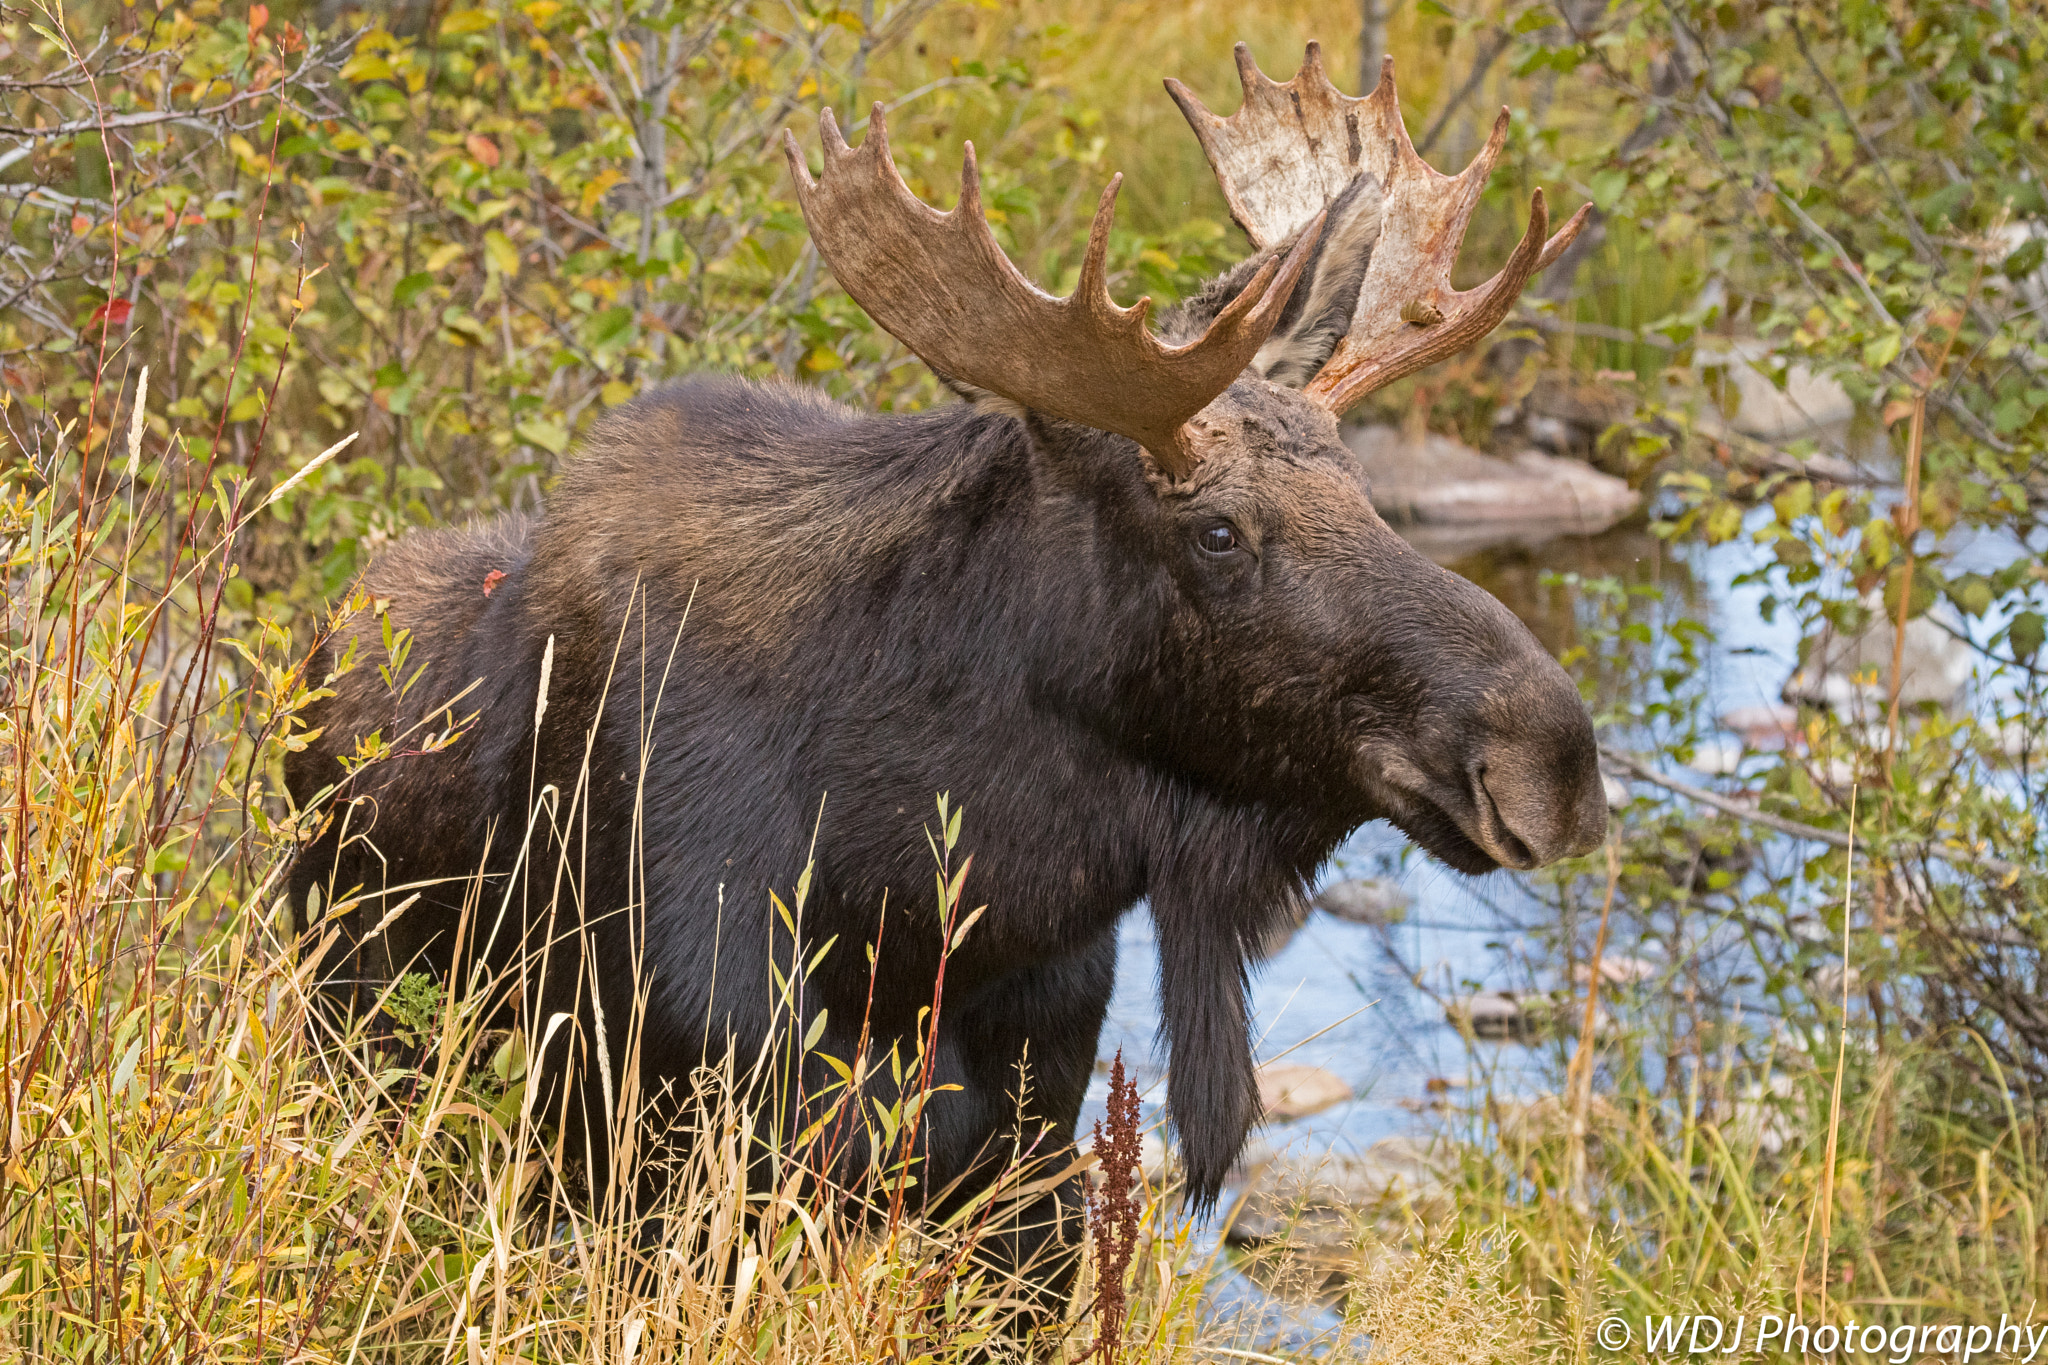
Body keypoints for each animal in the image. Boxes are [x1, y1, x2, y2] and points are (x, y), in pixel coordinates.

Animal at [280, 37, 1605, 1326]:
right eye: (1217, 532)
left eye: (1361, 486)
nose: (1552, 760)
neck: (914, 895)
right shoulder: (669, 1150)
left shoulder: (1027, 1161)